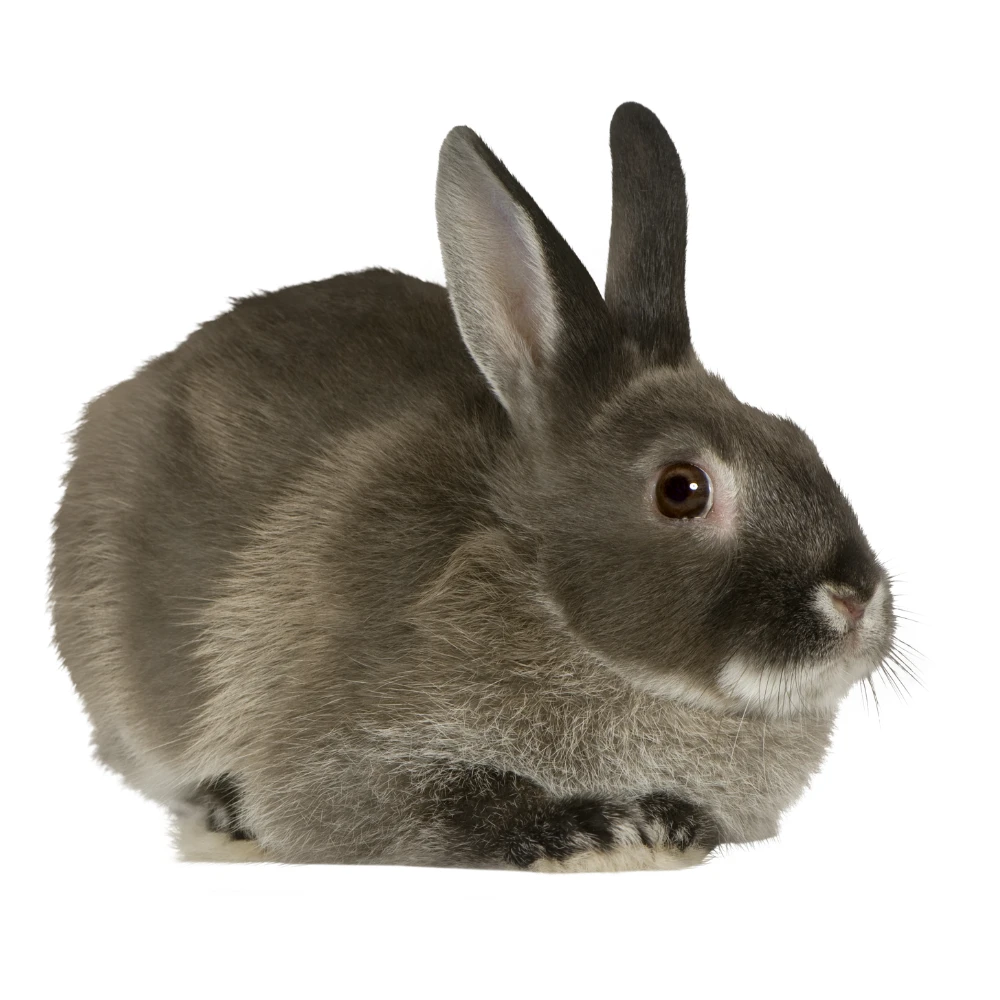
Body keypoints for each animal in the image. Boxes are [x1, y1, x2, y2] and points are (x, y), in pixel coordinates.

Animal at [50, 102, 895, 870]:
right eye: (682, 488)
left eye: (799, 440)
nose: (855, 598)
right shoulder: (344, 760)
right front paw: (598, 834)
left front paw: (664, 827)